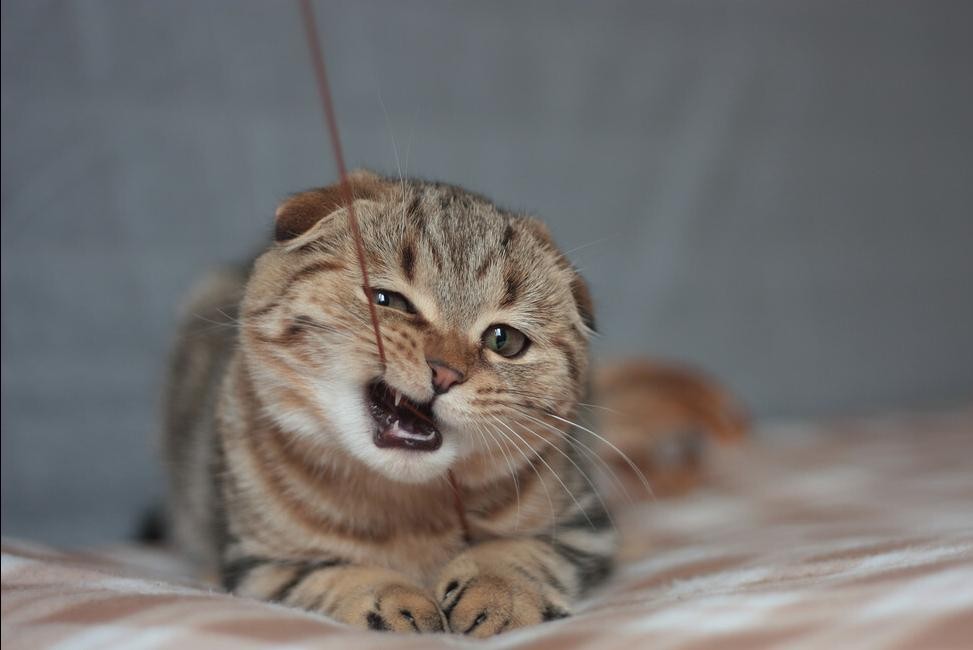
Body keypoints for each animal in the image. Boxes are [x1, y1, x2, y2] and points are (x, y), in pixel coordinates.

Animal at [162, 170, 743, 636]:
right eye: (388, 301)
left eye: (504, 340)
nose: (445, 372)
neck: (407, 508)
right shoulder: (257, 560)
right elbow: (328, 574)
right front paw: (389, 600)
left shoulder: (585, 530)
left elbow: (521, 552)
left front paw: (498, 592)